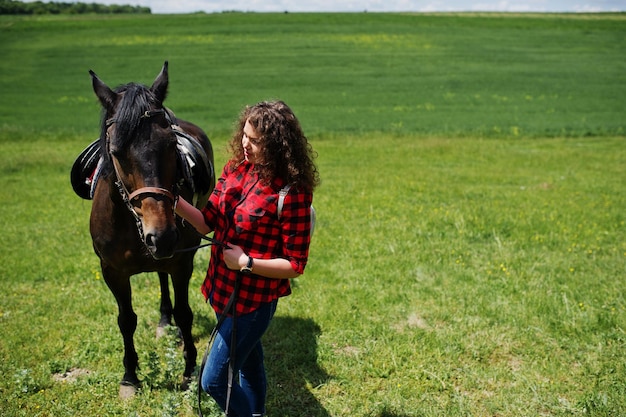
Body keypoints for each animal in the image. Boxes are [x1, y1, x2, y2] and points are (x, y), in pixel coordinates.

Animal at [85, 61, 213, 396]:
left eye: (170, 145)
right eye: (116, 151)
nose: (163, 235)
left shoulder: (182, 261)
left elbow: (185, 313)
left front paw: (189, 369)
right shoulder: (111, 271)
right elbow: (126, 320)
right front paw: (130, 376)